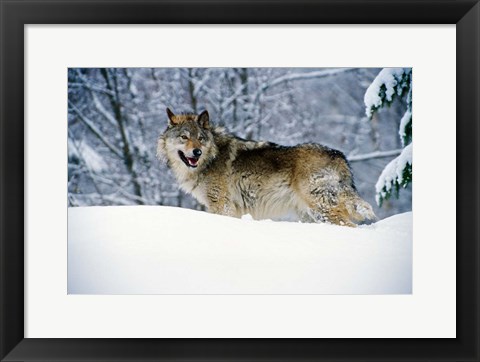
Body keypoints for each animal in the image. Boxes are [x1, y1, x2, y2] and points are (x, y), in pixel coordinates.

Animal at [157, 107, 376, 226]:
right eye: (184, 137)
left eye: (200, 139)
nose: (197, 152)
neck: (210, 158)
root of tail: (339, 155)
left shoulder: (222, 205)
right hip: (311, 215)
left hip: (321, 209)